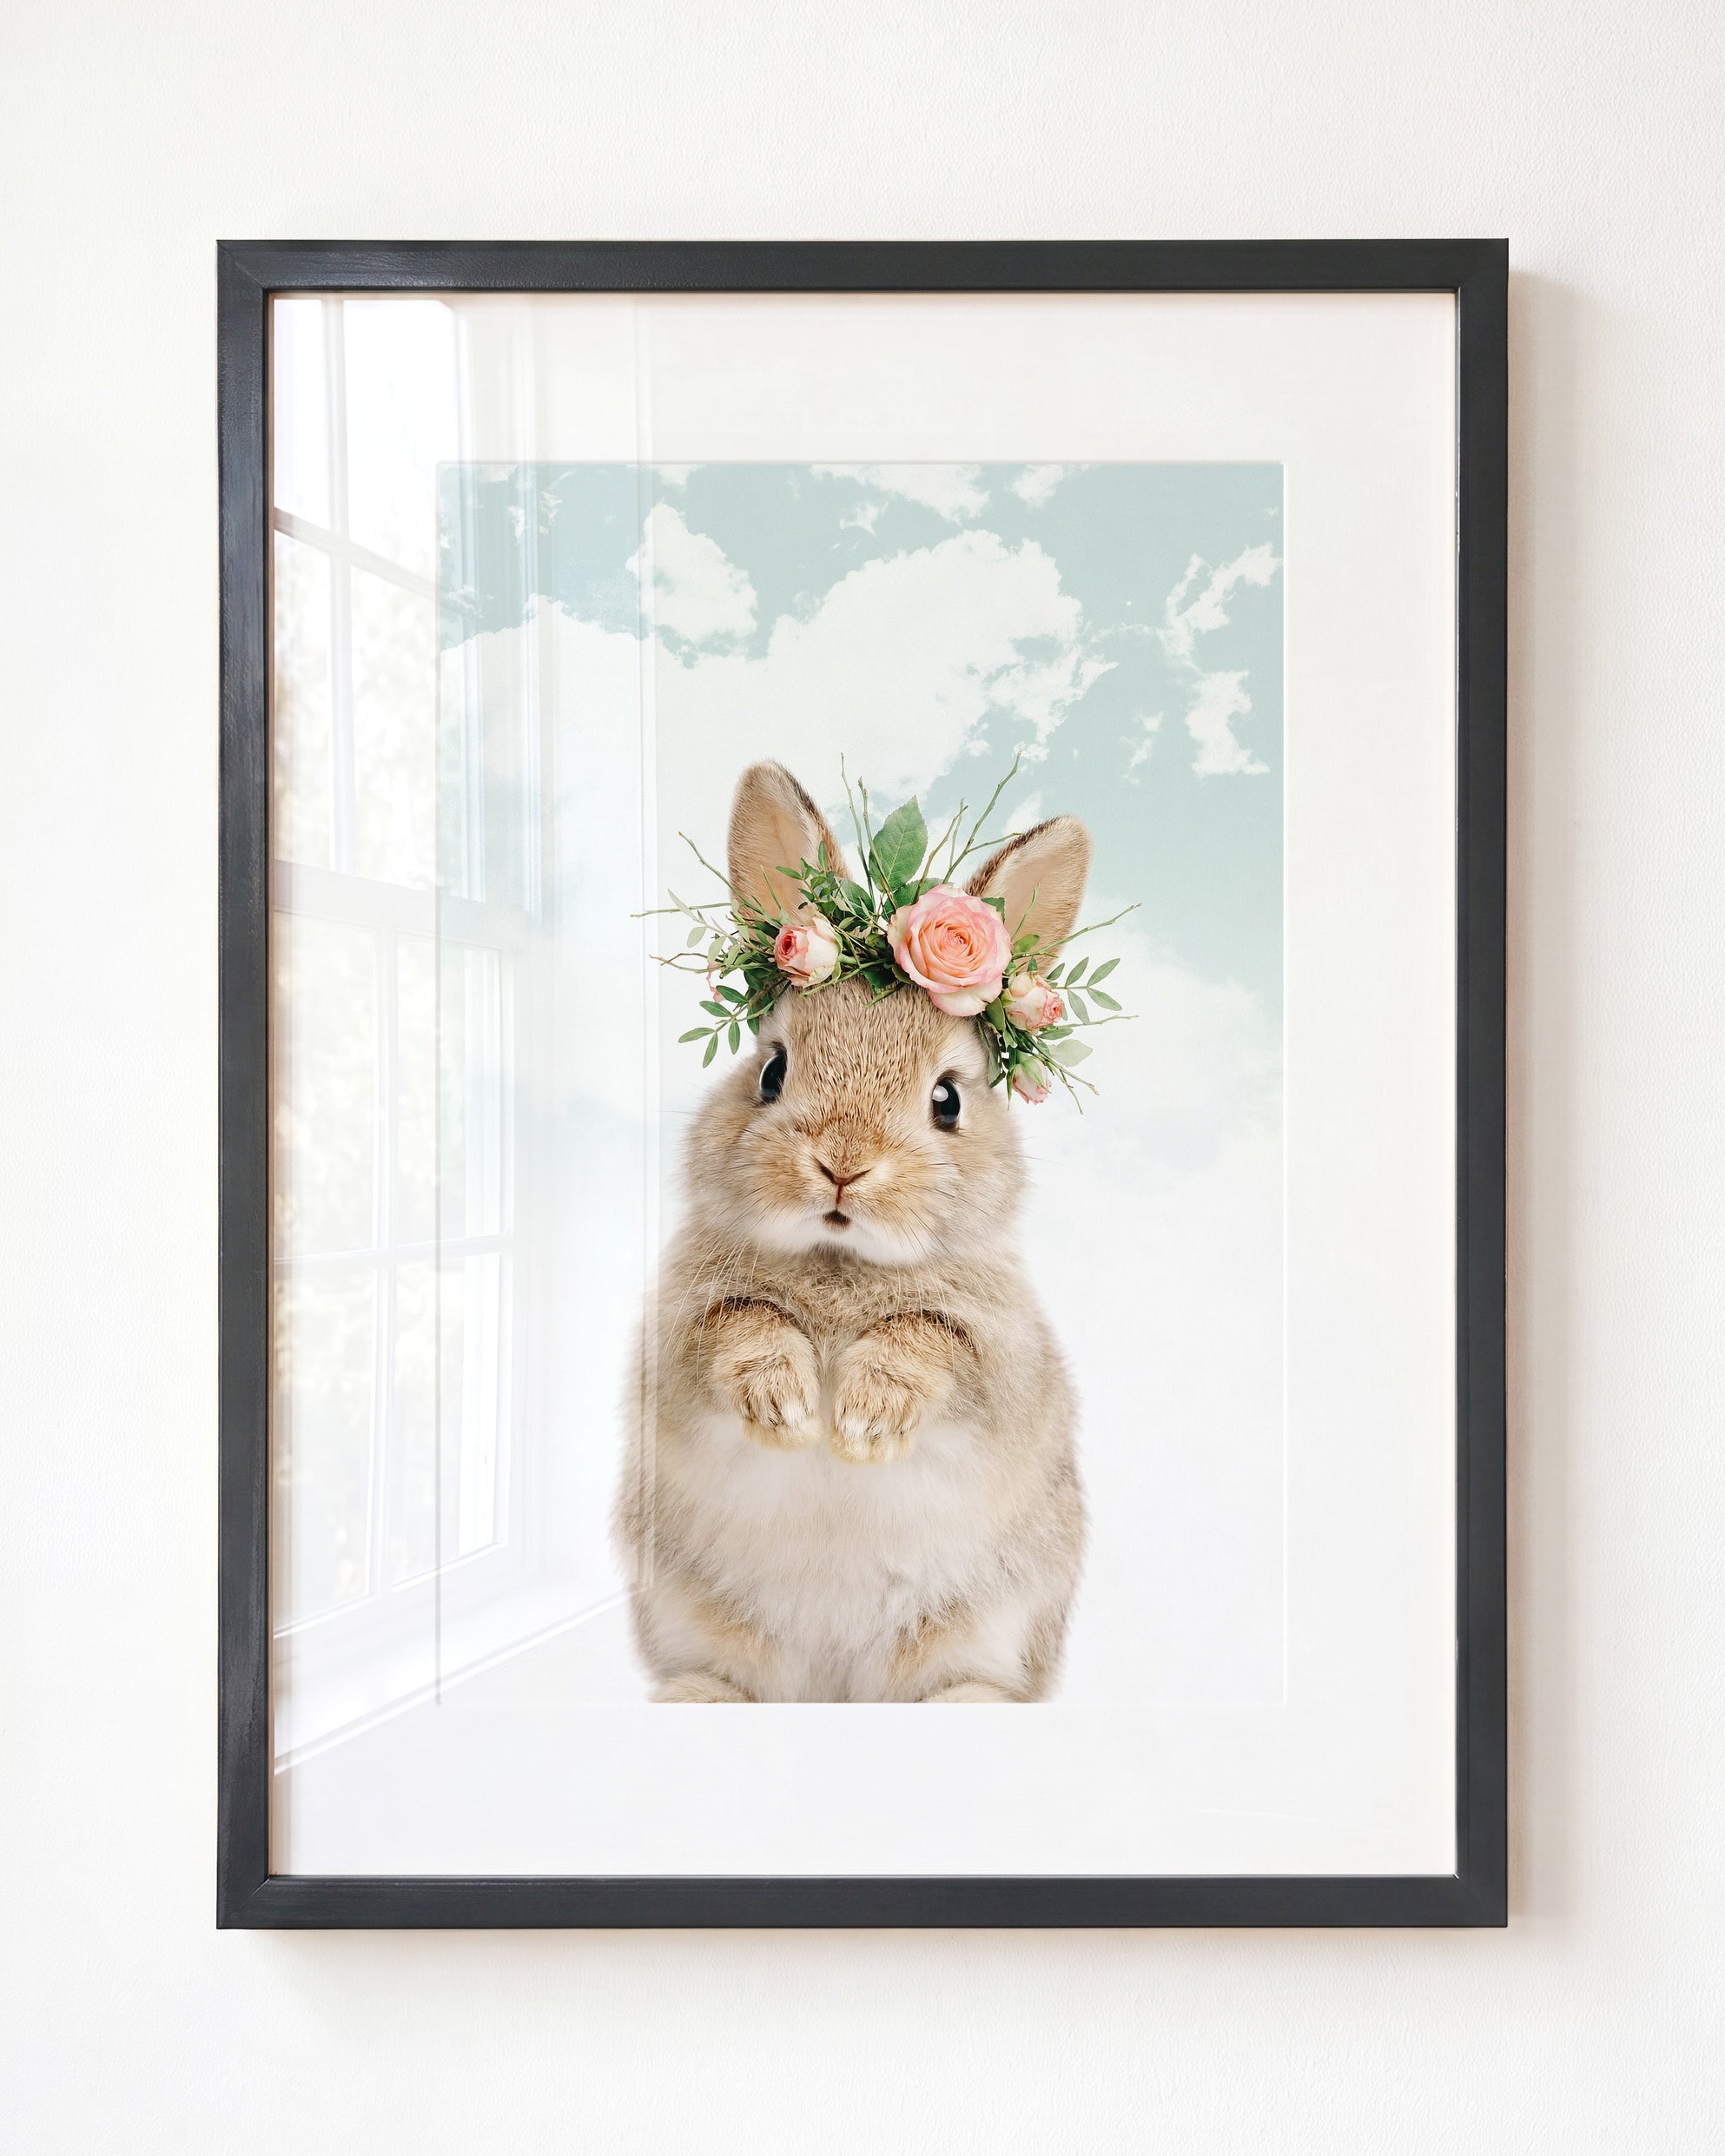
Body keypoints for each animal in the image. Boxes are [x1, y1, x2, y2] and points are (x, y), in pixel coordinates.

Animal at [616, 760, 1088, 1702]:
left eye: (947, 1099)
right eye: (770, 1070)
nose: (842, 1164)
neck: (839, 1260)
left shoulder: (1002, 1359)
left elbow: (931, 1339)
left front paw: (864, 1421)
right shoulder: (679, 1339)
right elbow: (741, 1324)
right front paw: (788, 1406)